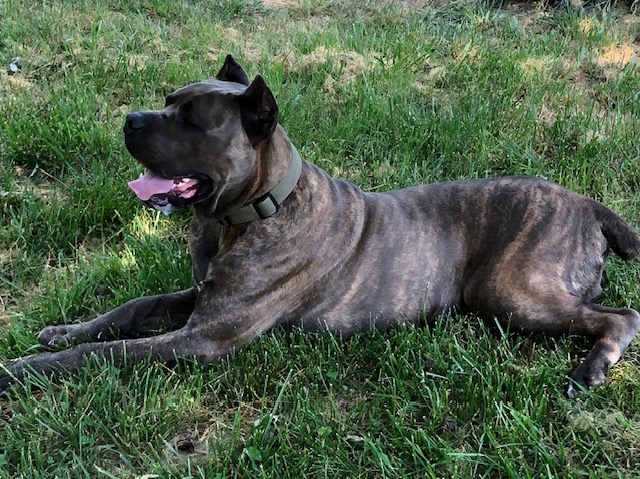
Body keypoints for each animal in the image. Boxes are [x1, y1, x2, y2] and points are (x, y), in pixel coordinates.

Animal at [1, 55, 640, 398]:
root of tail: (588, 204)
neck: (248, 214)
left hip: (511, 290)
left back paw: (590, 369)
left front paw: (23, 369)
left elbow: (111, 353)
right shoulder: (200, 296)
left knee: (621, 315)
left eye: (192, 120)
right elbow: (132, 308)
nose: (130, 119)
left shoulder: (204, 336)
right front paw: (62, 331)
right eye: (168, 98)